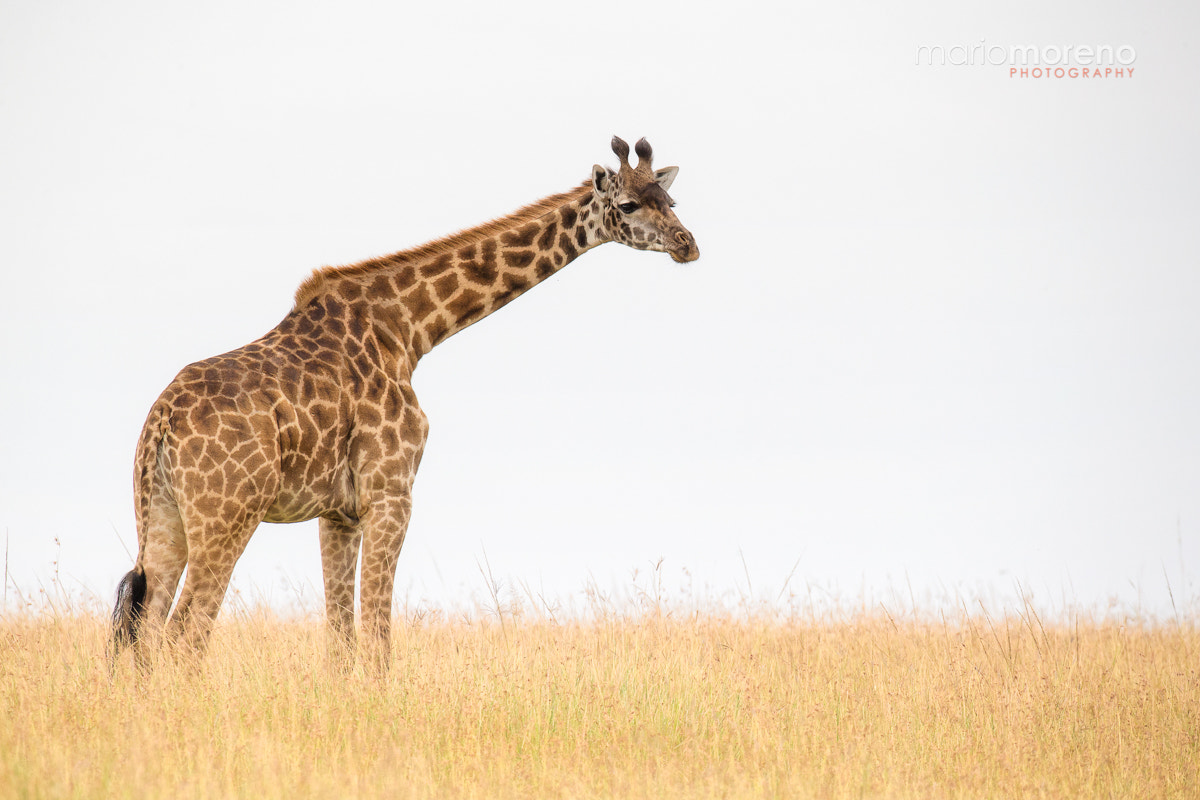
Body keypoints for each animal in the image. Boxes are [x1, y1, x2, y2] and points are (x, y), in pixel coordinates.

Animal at [110, 136, 699, 674]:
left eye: (670, 200)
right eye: (628, 205)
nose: (687, 243)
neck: (410, 330)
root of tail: (161, 421)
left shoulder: (338, 511)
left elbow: (342, 641)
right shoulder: (391, 493)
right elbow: (378, 637)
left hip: (161, 518)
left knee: (146, 633)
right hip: (228, 516)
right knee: (183, 635)